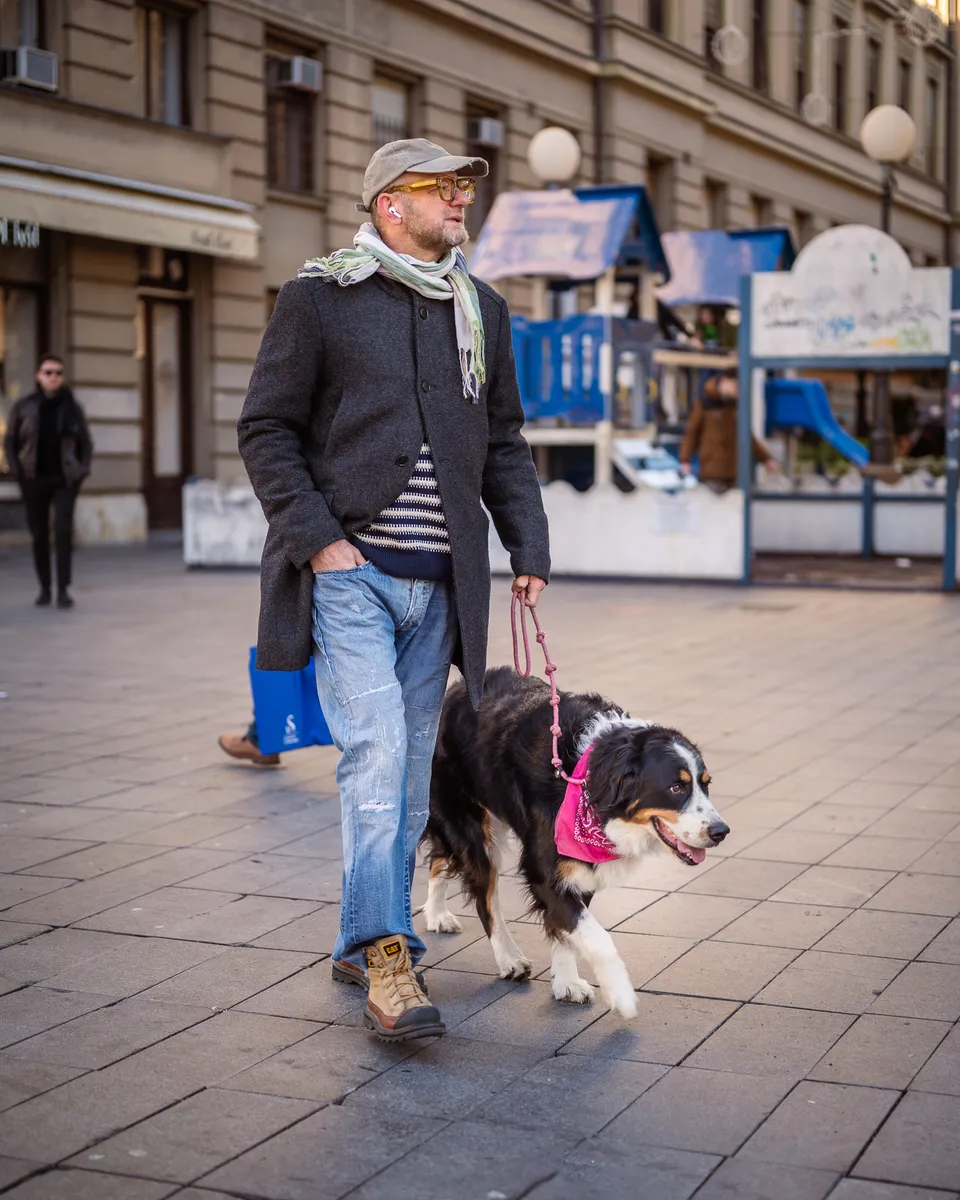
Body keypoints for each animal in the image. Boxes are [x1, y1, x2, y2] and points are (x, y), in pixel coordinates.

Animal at [420, 672, 729, 1017]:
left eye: (705, 784)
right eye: (676, 787)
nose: (722, 831)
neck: (586, 779)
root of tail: (453, 690)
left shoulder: (578, 869)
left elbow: (566, 931)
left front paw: (566, 984)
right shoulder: (546, 872)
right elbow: (595, 936)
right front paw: (621, 994)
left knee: (440, 858)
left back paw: (436, 914)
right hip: (471, 827)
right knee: (484, 897)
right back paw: (509, 958)